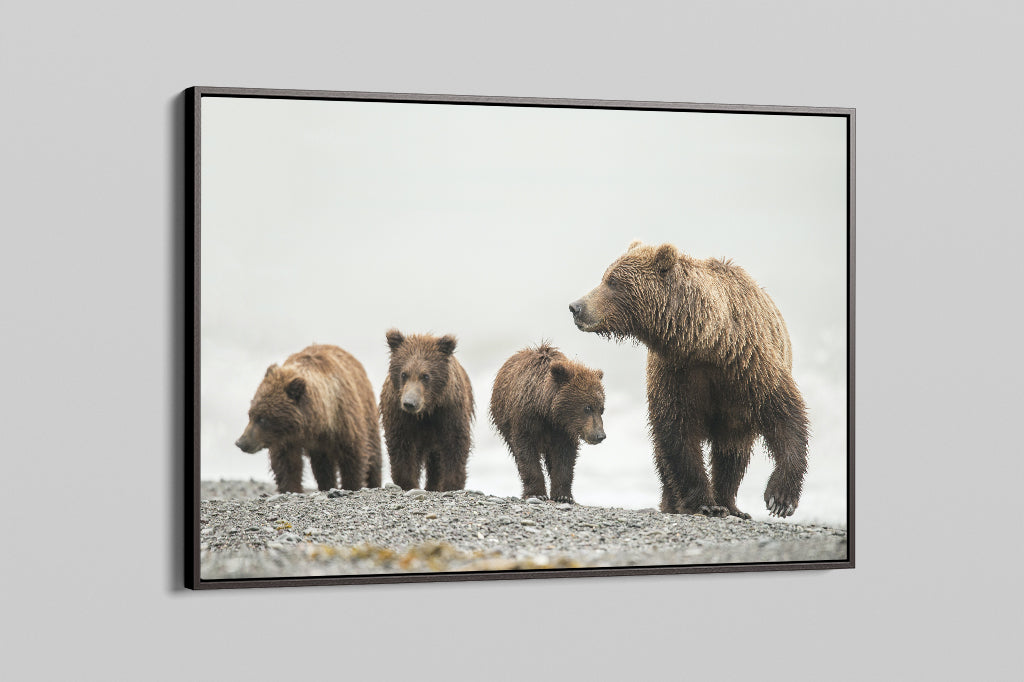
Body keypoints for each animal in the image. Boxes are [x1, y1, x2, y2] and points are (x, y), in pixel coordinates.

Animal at [235, 344, 383, 493]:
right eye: (250, 414)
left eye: (262, 419)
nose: (241, 442)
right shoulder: (286, 440)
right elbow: (287, 464)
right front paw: (291, 488)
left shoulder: (344, 420)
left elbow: (353, 457)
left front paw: (352, 485)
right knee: (323, 466)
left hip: (367, 409)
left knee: (373, 451)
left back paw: (374, 482)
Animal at [380, 329, 474, 492]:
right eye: (404, 374)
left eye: (425, 376)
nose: (409, 403)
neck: (425, 412)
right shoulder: (399, 415)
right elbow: (401, 447)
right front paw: (408, 483)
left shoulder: (449, 411)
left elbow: (455, 443)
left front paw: (452, 484)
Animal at [490, 343, 606, 503]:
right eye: (587, 407)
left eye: (602, 409)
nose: (600, 435)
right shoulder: (525, 420)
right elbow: (526, 453)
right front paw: (536, 493)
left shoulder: (563, 431)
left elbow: (565, 458)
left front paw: (563, 496)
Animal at [569, 241, 808, 519]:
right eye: (606, 276)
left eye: (613, 281)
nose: (576, 307)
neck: (706, 341)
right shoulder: (677, 373)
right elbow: (678, 433)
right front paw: (703, 503)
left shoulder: (748, 365)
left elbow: (784, 414)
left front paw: (780, 499)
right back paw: (673, 502)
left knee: (733, 452)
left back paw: (731, 504)